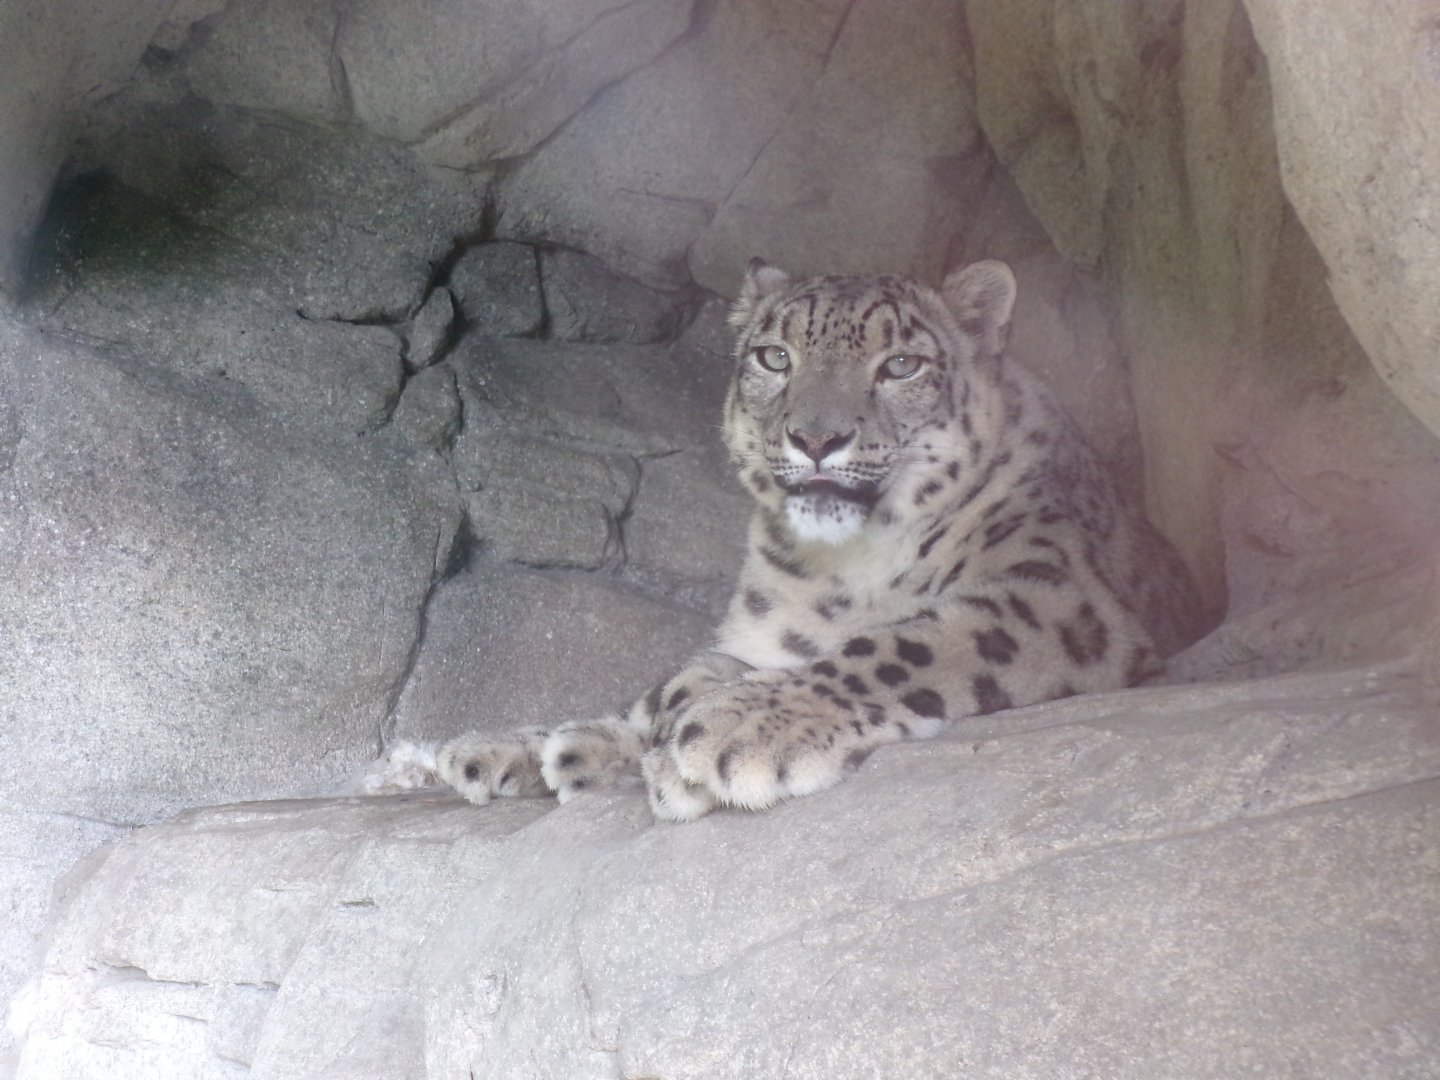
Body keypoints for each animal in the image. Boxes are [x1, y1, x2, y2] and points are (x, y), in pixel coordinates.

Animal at [381, 258, 1205, 822]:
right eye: (775, 356)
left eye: (901, 364)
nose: (815, 438)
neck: (851, 566)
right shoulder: (762, 639)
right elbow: (669, 688)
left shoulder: (1053, 594)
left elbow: (904, 644)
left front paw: (731, 730)